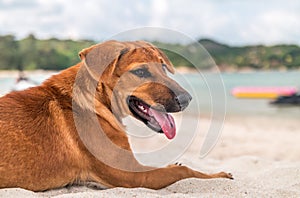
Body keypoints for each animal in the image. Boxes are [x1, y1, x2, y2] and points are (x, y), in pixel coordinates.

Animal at [0, 40, 232, 192]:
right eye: (140, 72)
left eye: (164, 68)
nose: (187, 99)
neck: (96, 100)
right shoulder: (133, 175)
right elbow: (185, 173)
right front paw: (218, 175)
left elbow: (179, 169)